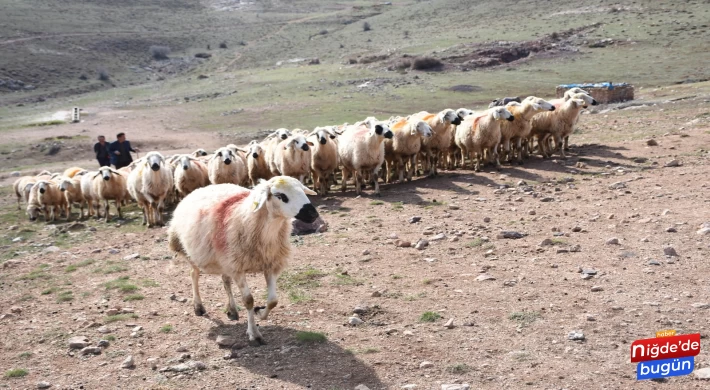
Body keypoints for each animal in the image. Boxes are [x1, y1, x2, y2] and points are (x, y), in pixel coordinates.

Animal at [167, 177, 318, 344]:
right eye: (280, 195)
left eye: (303, 190)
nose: (313, 214)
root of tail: (203, 187)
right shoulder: (238, 268)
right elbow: (248, 300)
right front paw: (254, 333)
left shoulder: (269, 264)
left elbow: (273, 301)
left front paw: (260, 313)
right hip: (193, 253)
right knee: (194, 275)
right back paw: (198, 307)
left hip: (225, 259)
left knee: (225, 281)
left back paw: (232, 310)